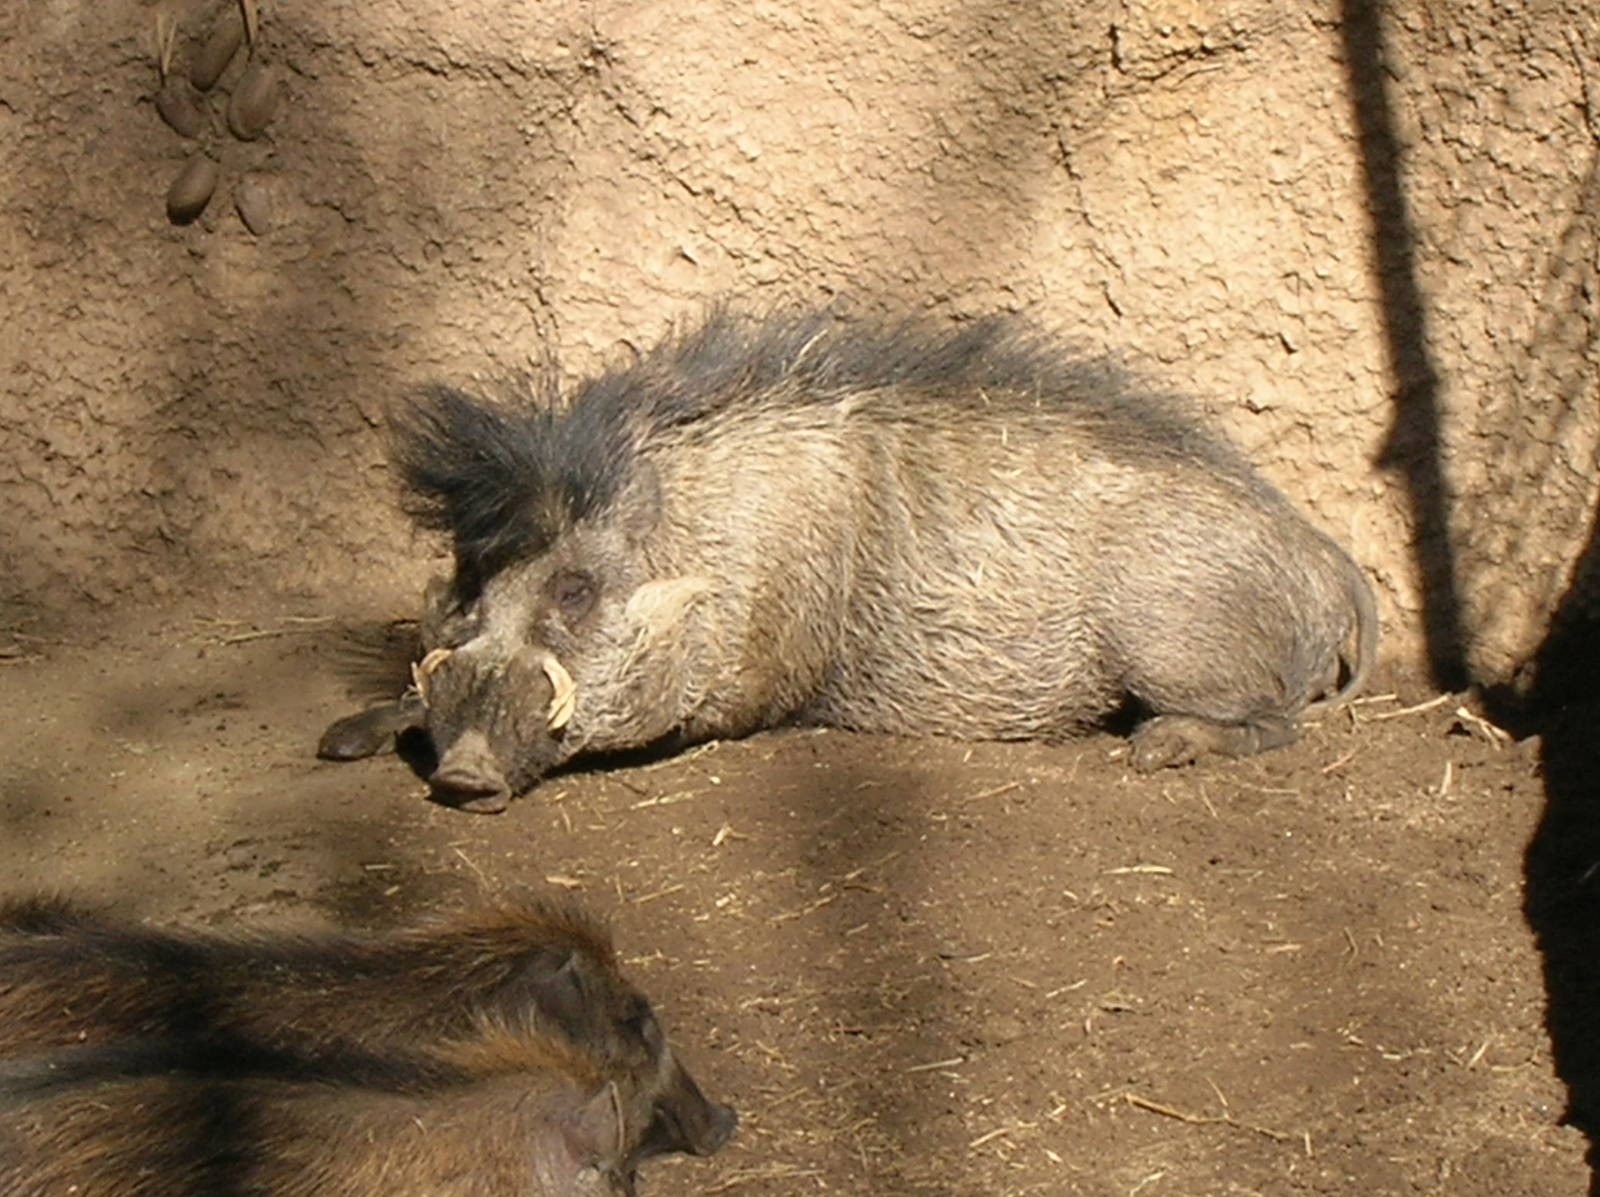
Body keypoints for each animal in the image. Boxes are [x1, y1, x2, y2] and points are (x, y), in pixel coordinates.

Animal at [318, 306, 1378, 812]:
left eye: (575, 588)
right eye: (466, 580)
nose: (461, 779)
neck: (706, 546)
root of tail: (1327, 557)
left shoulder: (756, 685)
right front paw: (338, 738)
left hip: (1180, 652)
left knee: (1276, 724)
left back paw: (1159, 748)